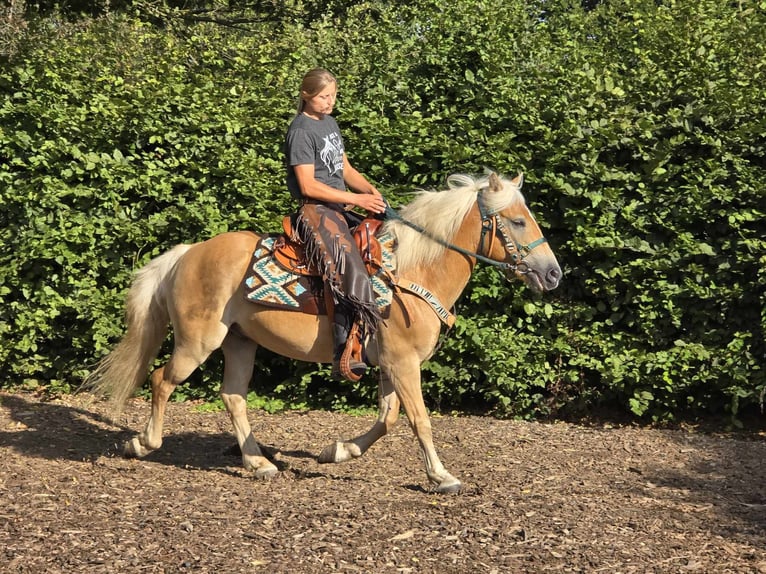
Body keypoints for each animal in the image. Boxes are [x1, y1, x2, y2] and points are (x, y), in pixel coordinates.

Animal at [88, 171, 564, 496]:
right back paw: (143, 444)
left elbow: (388, 418)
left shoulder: (390, 364)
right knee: (161, 381)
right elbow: (419, 419)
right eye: (517, 222)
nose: (554, 274)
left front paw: (336, 451)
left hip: (240, 342)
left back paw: (257, 462)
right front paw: (442, 476)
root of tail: (188, 254)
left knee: (233, 396)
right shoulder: (404, 363)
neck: (413, 269)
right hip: (196, 342)